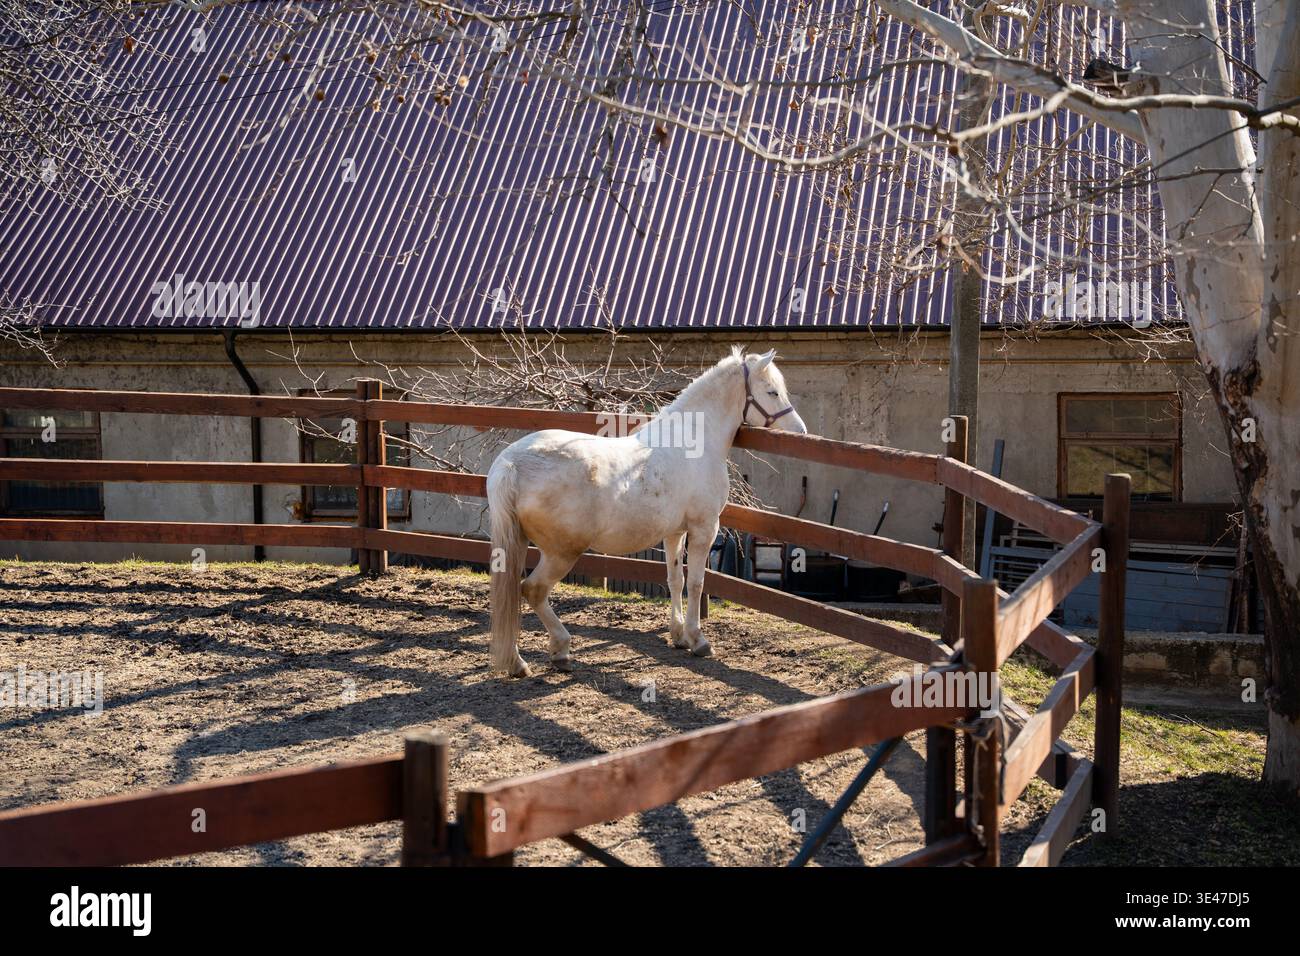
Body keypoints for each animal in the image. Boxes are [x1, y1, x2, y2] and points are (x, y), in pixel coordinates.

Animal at [486, 347, 808, 676]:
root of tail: (511, 463)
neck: (694, 441)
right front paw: (698, 639)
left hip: (519, 544)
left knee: (514, 591)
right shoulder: (705, 528)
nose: (801, 431)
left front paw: (679, 636)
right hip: (561, 552)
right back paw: (558, 650)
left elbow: (675, 579)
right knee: (533, 590)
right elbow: (696, 583)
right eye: (772, 391)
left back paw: (518, 661)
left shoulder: (675, 532)